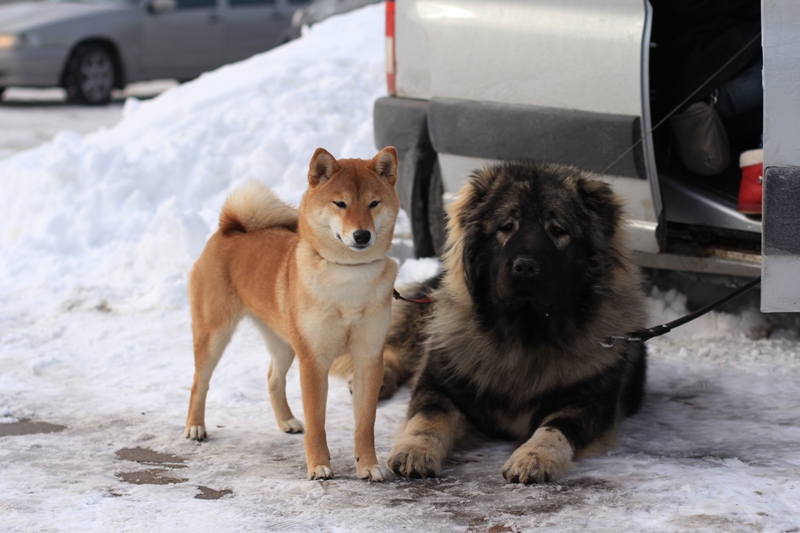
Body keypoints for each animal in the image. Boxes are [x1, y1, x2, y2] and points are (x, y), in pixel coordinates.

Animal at [186, 148, 400, 480]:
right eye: (340, 203)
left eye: (373, 203)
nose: (362, 235)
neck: (348, 277)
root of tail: (228, 229)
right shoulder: (313, 360)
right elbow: (317, 422)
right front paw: (319, 466)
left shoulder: (368, 358)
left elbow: (365, 424)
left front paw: (368, 465)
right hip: (214, 334)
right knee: (200, 381)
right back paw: (195, 426)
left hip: (283, 342)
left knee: (273, 378)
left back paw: (286, 421)